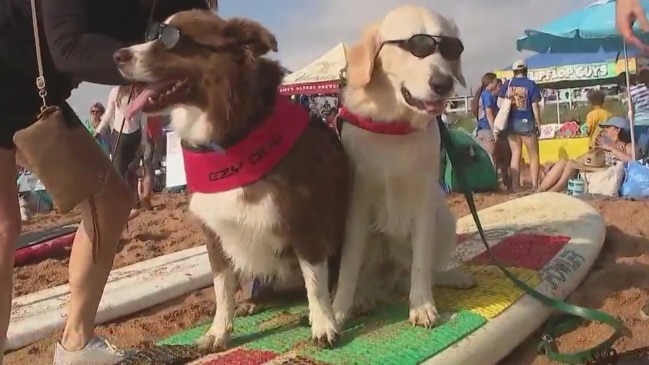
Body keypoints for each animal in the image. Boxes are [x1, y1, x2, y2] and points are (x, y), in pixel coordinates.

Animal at [332, 4, 474, 324]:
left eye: (451, 48)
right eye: (416, 46)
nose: (444, 84)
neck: (395, 126)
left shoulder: (423, 202)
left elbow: (421, 264)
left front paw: (421, 305)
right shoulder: (357, 205)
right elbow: (348, 266)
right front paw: (337, 311)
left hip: (444, 219)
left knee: (422, 269)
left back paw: (452, 277)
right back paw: (362, 297)